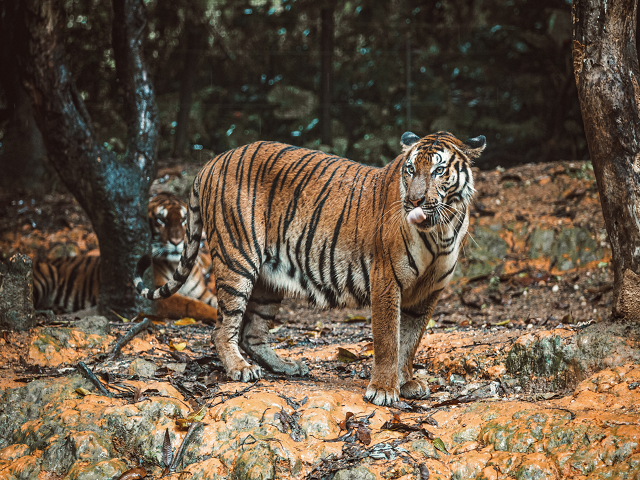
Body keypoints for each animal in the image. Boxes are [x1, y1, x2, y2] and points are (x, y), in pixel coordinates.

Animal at [33, 191, 219, 322]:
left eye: (183, 220)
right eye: (161, 220)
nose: (176, 241)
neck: (177, 264)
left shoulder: (202, 294)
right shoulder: (159, 295)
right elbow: (193, 305)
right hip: (44, 275)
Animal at [135, 131, 484, 404]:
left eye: (439, 170)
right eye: (410, 170)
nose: (414, 202)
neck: (441, 229)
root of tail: (213, 161)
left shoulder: (428, 293)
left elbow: (410, 342)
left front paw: (407, 382)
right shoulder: (386, 280)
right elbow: (388, 340)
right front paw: (384, 390)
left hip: (267, 281)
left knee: (252, 333)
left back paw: (287, 367)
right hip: (238, 261)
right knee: (223, 328)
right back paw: (239, 369)